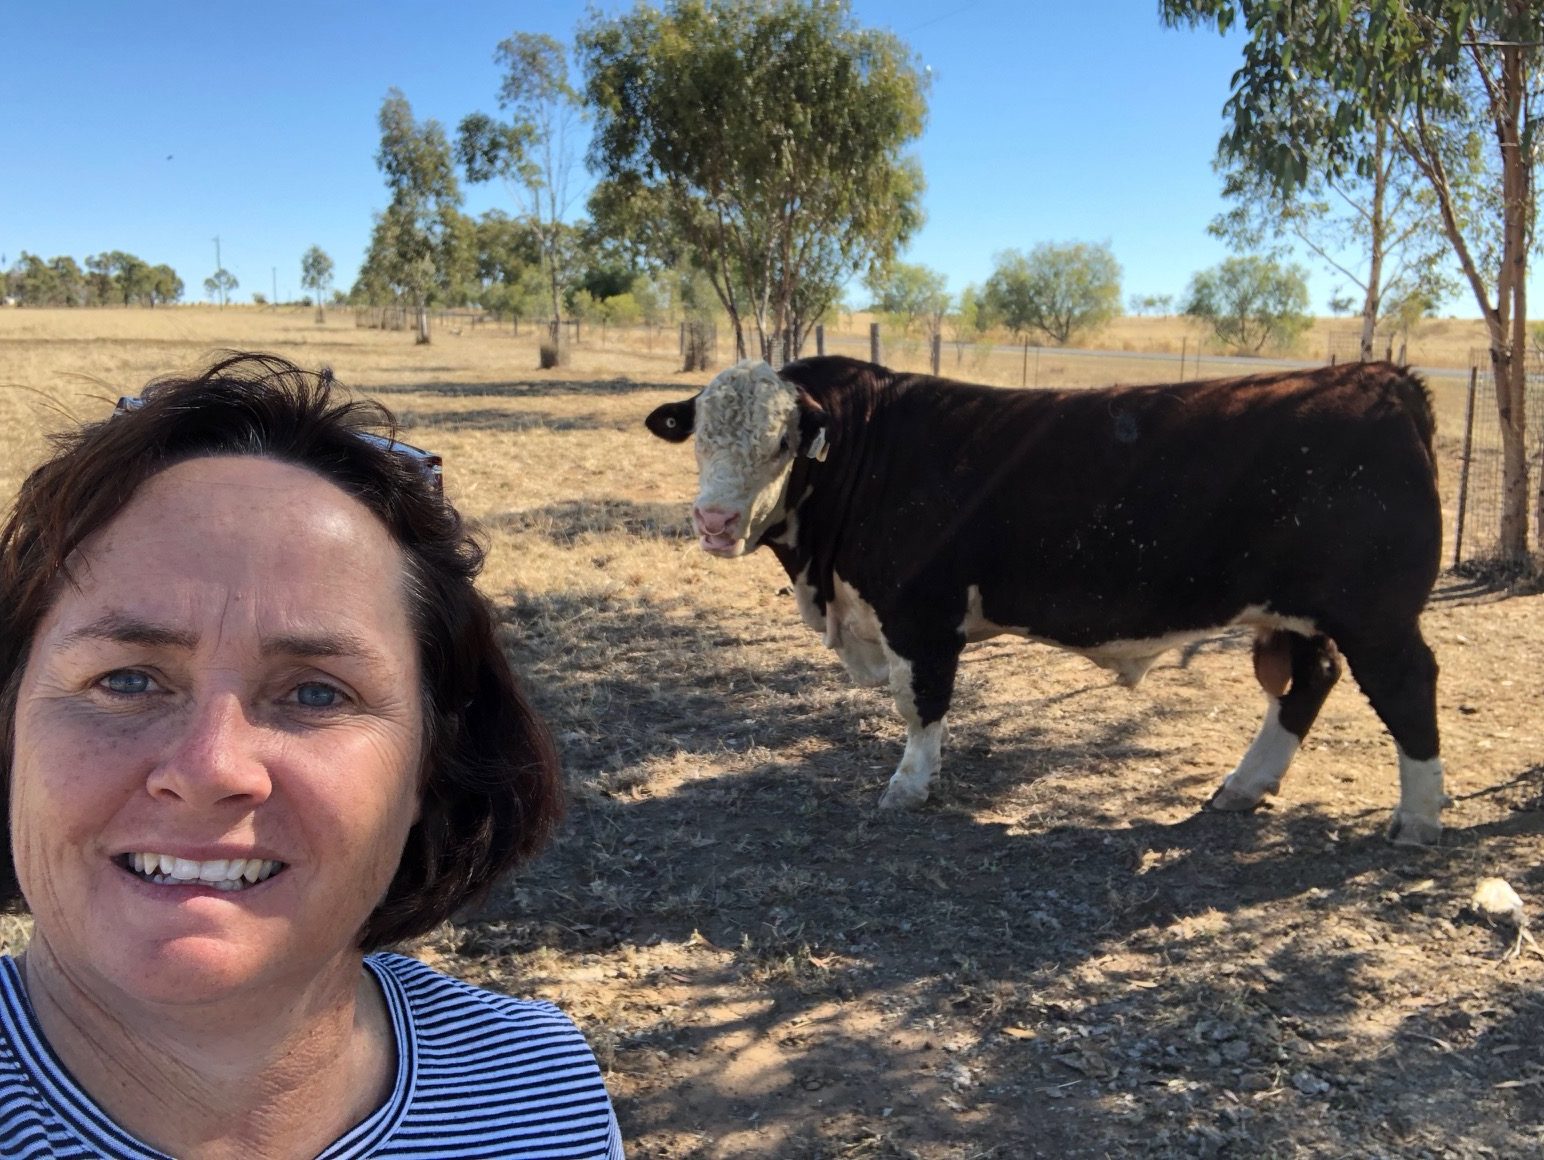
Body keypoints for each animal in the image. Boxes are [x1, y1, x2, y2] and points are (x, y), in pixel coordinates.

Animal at [642, 353, 1445, 846]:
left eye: (783, 442)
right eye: (699, 437)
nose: (713, 522)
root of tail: (1380, 378)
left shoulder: (920, 615)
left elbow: (920, 705)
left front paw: (908, 788)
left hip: (1377, 617)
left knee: (1407, 690)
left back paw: (1417, 820)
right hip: (1305, 615)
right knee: (1308, 683)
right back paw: (1243, 788)